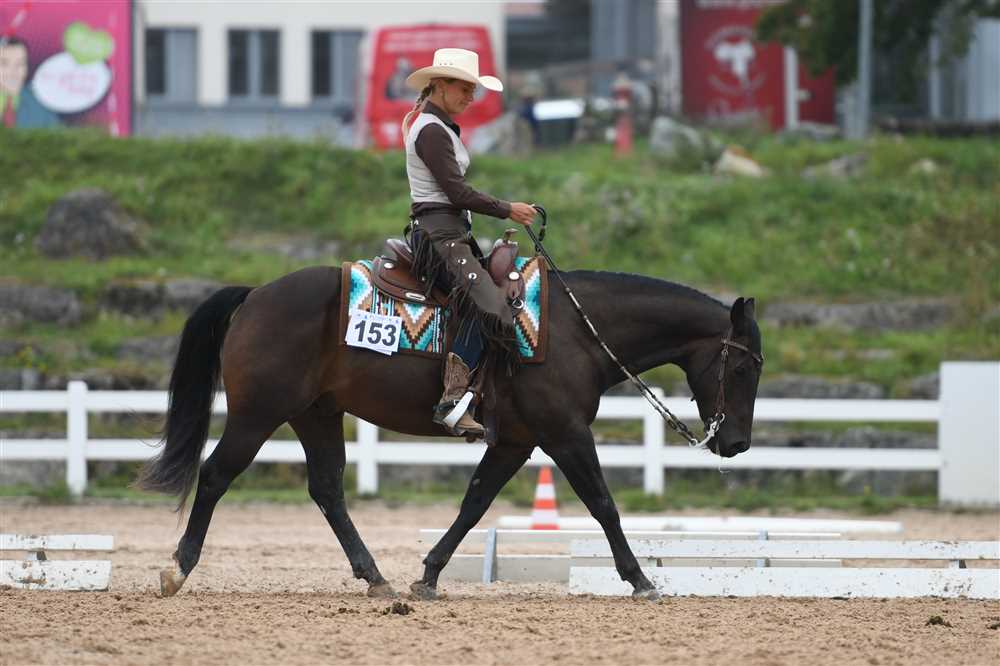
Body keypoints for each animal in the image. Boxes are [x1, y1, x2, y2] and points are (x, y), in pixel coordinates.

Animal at [138, 263, 763, 600]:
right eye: (741, 368)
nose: (736, 444)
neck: (577, 333)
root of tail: (255, 295)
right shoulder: (564, 434)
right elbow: (604, 504)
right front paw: (639, 580)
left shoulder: (515, 440)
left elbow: (474, 504)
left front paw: (430, 575)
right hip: (258, 414)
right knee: (216, 476)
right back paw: (178, 569)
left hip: (315, 414)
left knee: (328, 490)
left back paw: (377, 579)